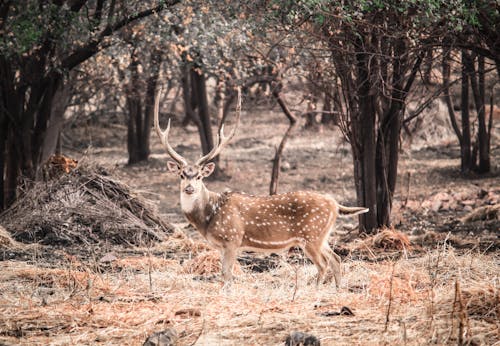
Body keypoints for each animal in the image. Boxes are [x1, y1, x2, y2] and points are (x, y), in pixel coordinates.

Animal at [154, 87, 370, 286]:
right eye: (182, 174)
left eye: (199, 176)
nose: (189, 188)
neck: (208, 217)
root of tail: (335, 204)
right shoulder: (223, 246)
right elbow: (224, 275)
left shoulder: (232, 239)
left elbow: (227, 275)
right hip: (322, 236)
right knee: (336, 258)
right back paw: (338, 289)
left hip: (312, 235)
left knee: (324, 263)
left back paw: (316, 290)